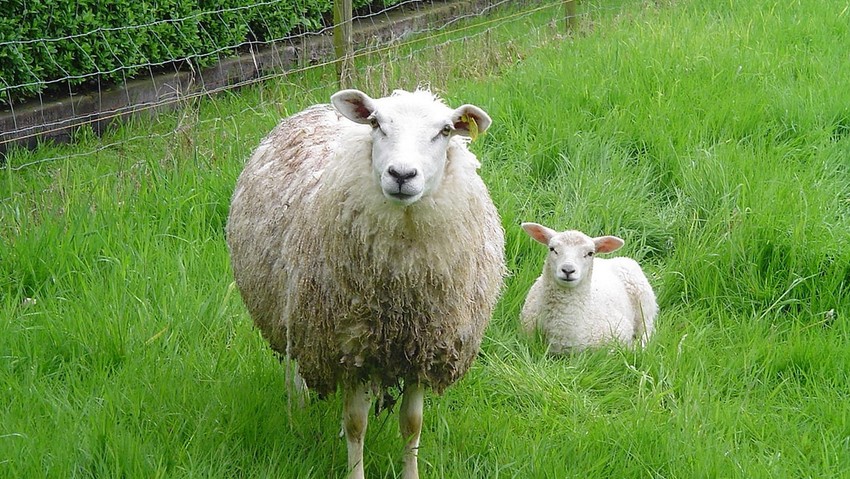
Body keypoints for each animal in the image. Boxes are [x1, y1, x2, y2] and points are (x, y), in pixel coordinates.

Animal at [225, 87, 504, 479]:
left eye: (445, 130)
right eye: (376, 123)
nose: (401, 174)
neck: (402, 283)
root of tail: (316, 108)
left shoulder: (424, 347)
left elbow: (412, 424)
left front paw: (410, 472)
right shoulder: (351, 349)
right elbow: (356, 424)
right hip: (292, 316)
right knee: (293, 366)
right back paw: (298, 411)